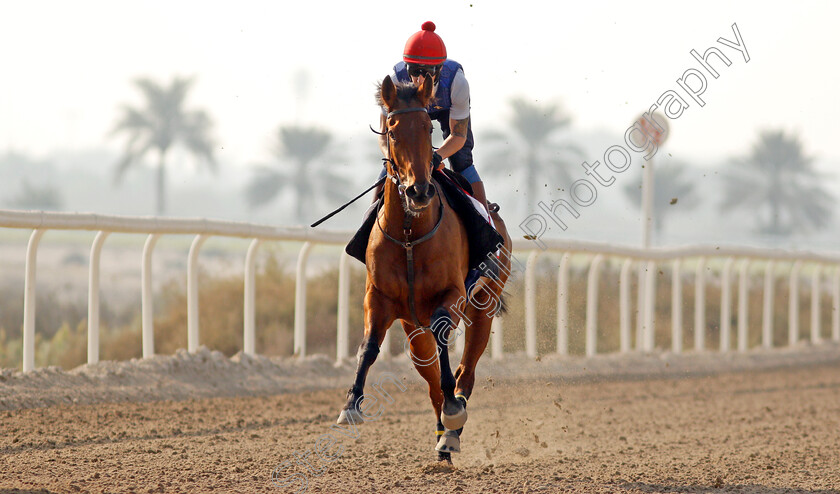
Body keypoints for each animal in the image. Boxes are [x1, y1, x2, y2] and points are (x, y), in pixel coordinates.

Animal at [338, 74, 516, 464]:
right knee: (432, 378)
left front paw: (454, 411)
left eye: (428, 128)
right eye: (392, 130)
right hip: (411, 327)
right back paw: (443, 438)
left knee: (466, 372)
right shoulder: (378, 297)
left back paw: (453, 424)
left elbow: (443, 334)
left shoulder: (452, 295)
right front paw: (351, 404)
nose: (418, 190)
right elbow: (368, 346)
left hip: (484, 305)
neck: (409, 234)